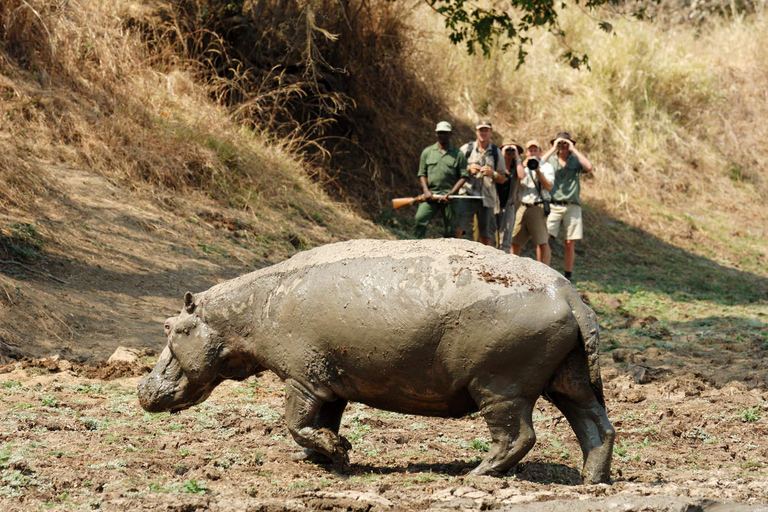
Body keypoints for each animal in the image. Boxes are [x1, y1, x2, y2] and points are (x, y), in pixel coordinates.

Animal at [138, 238, 616, 482]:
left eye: (169, 326)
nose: (142, 387)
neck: (244, 312)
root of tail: (569, 295)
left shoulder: (302, 378)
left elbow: (295, 422)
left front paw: (339, 453)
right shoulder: (328, 382)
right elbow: (322, 422)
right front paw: (319, 459)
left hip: (499, 386)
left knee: (518, 436)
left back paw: (475, 475)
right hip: (567, 378)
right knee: (596, 425)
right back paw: (591, 481)